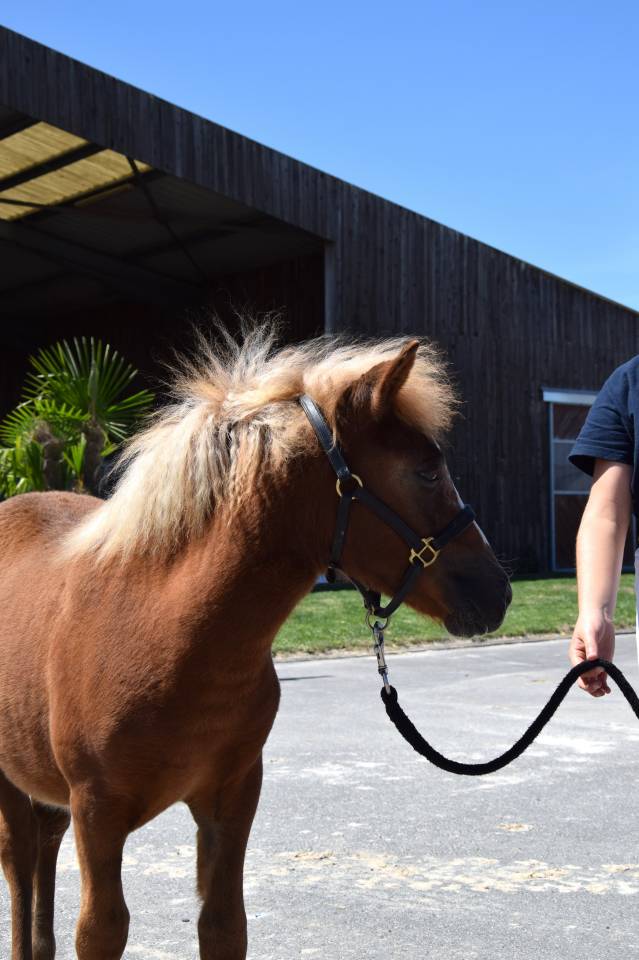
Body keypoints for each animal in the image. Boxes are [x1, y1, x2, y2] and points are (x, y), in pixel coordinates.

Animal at [0, 327, 511, 959]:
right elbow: (102, 929)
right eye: (427, 472)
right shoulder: (97, 812)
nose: (498, 592)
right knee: (20, 863)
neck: (165, 634)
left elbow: (224, 926)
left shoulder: (233, 798)